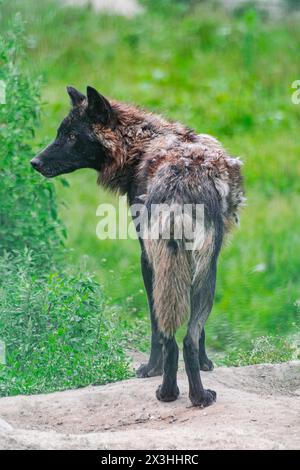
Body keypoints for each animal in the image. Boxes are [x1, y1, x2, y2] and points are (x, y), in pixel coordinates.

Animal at [31, 87, 244, 408]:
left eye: (71, 136)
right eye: (60, 133)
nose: (34, 162)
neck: (142, 144)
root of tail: (181, 179)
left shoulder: (151, 259)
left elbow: (158, 328)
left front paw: (156, 369)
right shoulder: (196, 263)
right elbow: (185, 330)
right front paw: (201, 365)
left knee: (176, 336)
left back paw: (175, 392)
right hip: (202, 277)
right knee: (184, 338)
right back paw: (191, 395)